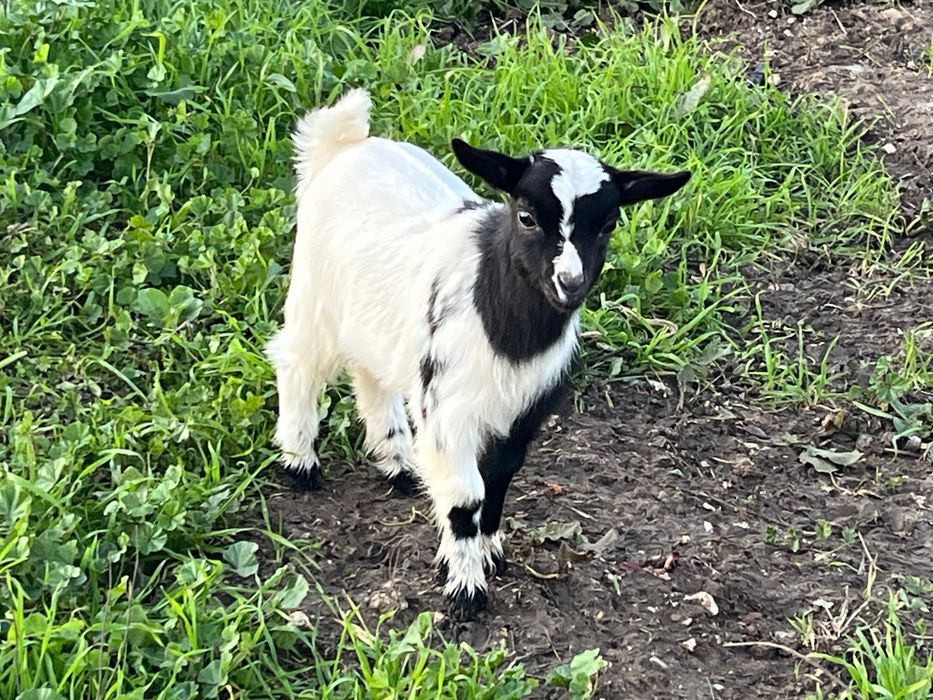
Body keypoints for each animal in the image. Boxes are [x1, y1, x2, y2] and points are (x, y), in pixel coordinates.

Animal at [267, 89, 690, 619]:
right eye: (526, 216)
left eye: (609, 223)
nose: (569, 284)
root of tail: (344, 143)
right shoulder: (449, 408)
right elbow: (466, 498)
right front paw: (465, 587)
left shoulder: (526, 411)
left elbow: (499, 481)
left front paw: (489, 553)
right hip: (315, 295)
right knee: (296, 362)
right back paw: (300, 461)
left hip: (375, 321)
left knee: (372, 376)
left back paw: (399, 463)